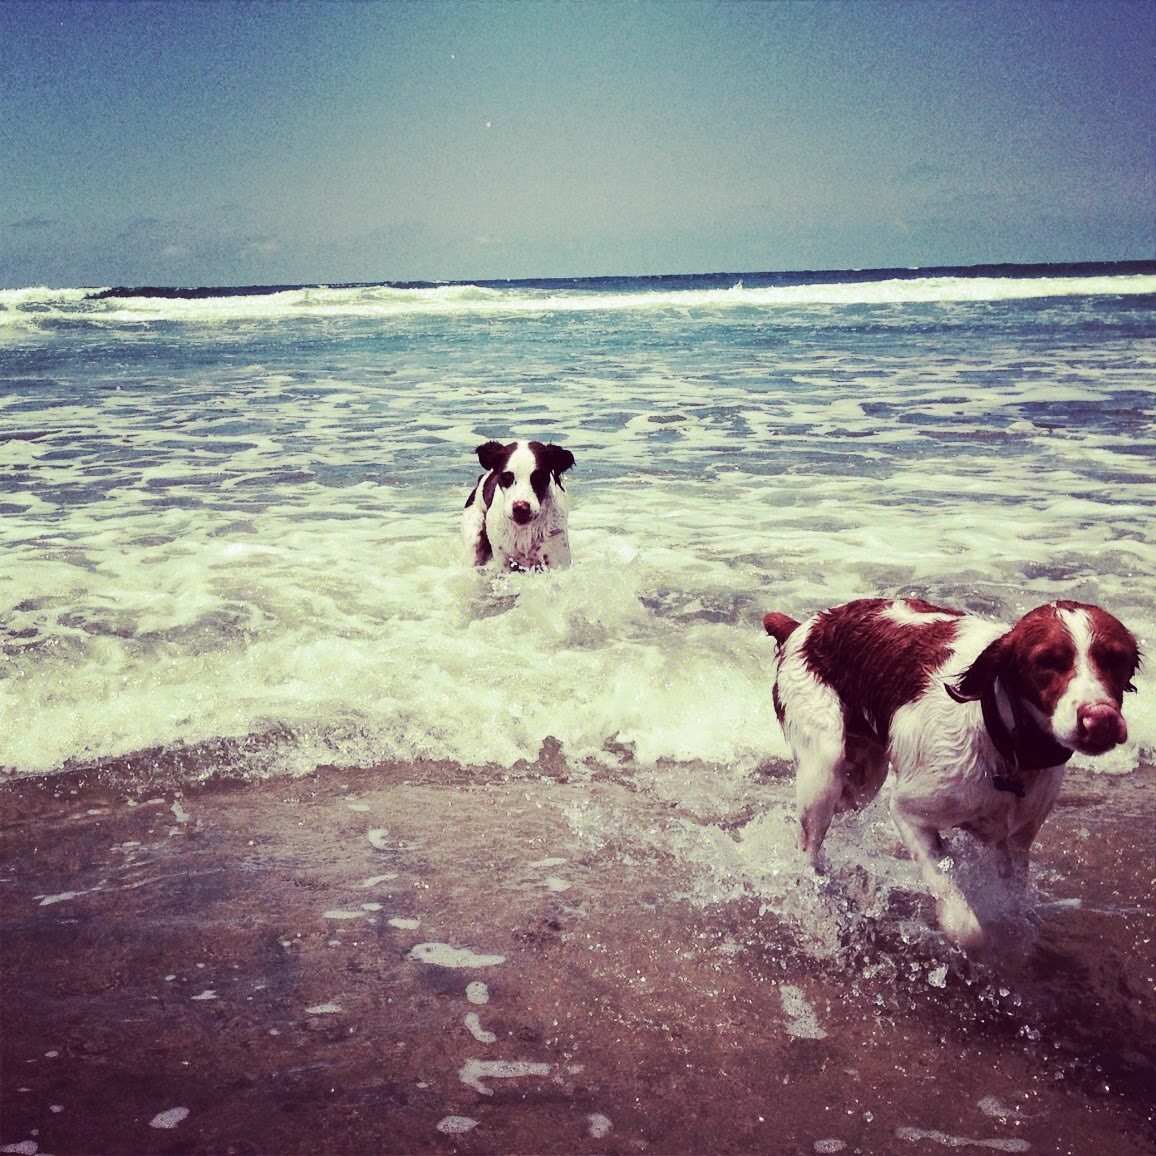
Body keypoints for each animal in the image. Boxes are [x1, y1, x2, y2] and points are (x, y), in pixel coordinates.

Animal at [763, 597, 1140, 950]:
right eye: (1046, 661)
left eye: (1116, 659)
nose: (1100, 720)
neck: (1006, 749)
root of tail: (804, 626)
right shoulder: (909, 813)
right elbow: (965, 924)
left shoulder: (1015, 841)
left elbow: (1011, 902)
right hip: (825, 766)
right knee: (808, 846)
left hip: (864, 776)